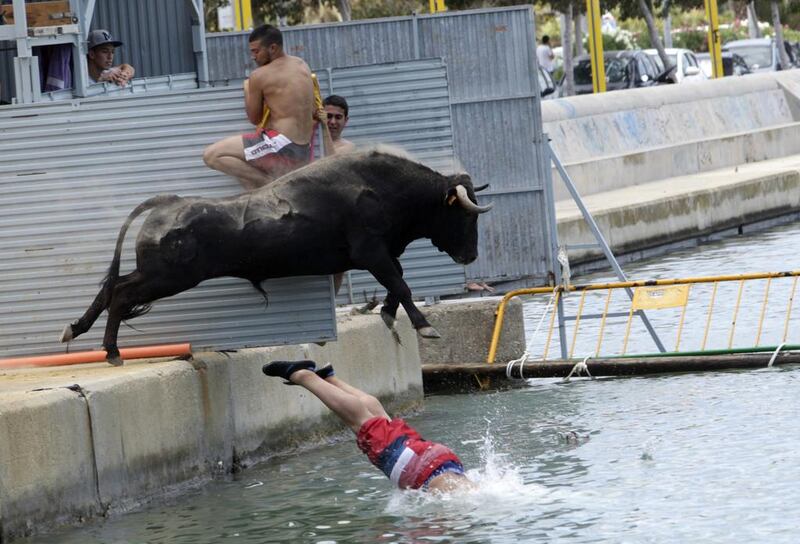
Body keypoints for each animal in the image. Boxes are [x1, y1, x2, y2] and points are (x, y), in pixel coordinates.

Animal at [59, 149, 490, 366]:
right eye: (465, 215)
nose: (470, 254)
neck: (381, 186)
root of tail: (171, 202)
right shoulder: (371, 252)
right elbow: (401, 282)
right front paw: (424, 326)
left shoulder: (380, 254)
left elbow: (397, 282)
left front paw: (387, 313)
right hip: (167, 277)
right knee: (120, 294)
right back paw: (112, 351)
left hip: (158, 274)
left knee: (113, 287)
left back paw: (77, 329)